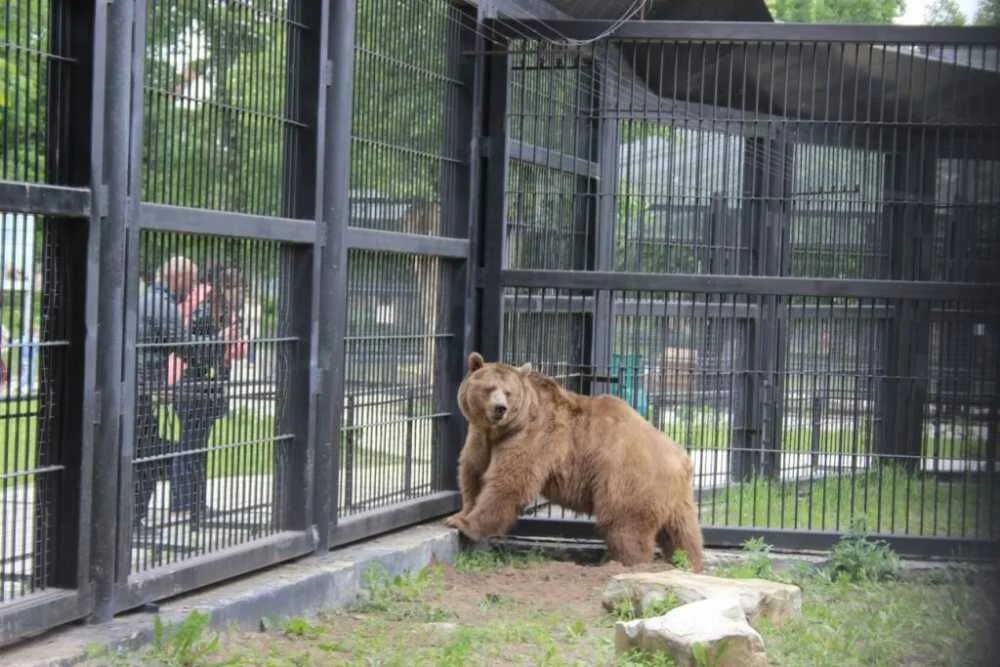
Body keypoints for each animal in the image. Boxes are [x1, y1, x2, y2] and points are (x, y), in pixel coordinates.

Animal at [446, 352, 704, 572]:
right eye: (489, 388)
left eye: (508, 392)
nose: (500, 408)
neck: (501, 430)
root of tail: (682, 459)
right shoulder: (482, 438)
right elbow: (474, 473)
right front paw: (462, 512)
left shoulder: (533, 438)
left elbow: (508, 482)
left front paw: (464, 523)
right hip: (676, 498)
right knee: (684, 533)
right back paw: (688, 564)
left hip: (629, 480)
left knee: (625, 527)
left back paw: (627, 564)